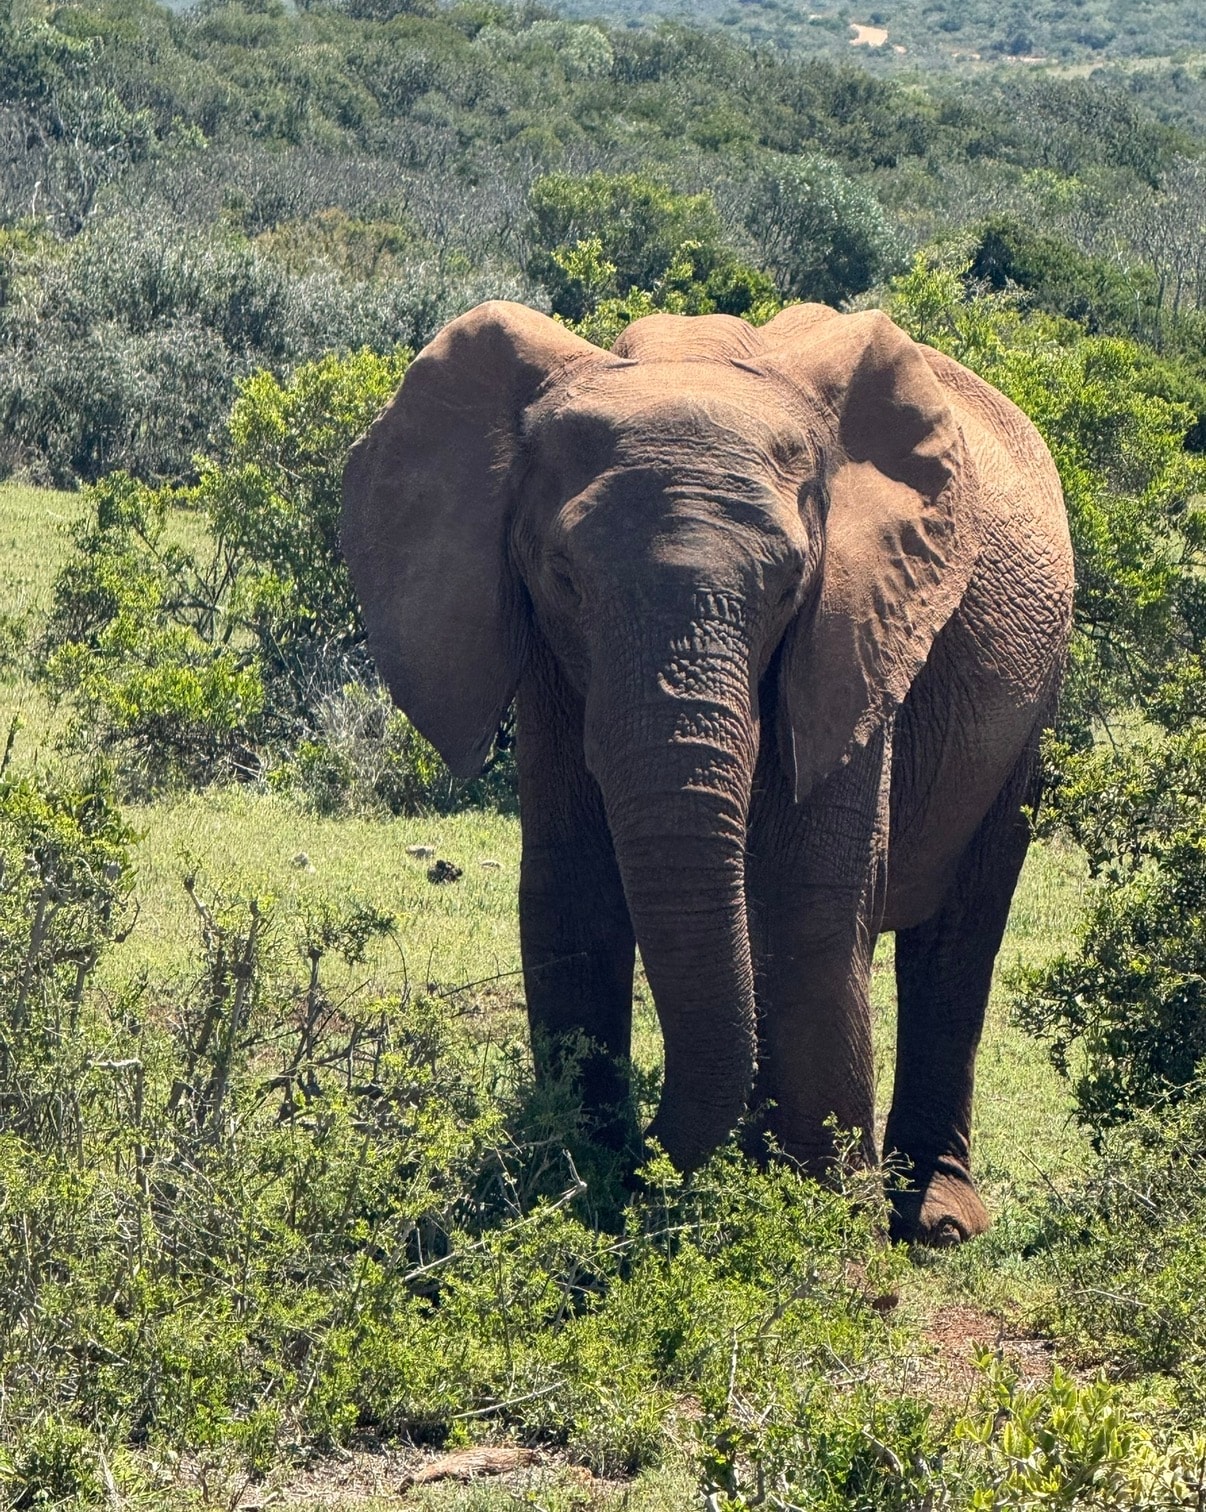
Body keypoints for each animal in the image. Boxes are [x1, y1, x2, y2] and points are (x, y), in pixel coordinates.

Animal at [341, 299, 1074, 1245]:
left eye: (791, 583)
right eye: (564, 578)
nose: (649, 1158)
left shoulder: (860, 627)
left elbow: (811, 890)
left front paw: (820, 1227)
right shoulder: (551, 663)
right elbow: (571, 885)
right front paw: (584, 1189)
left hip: (1034, 704)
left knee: (960, 934)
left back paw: (935, 1220)